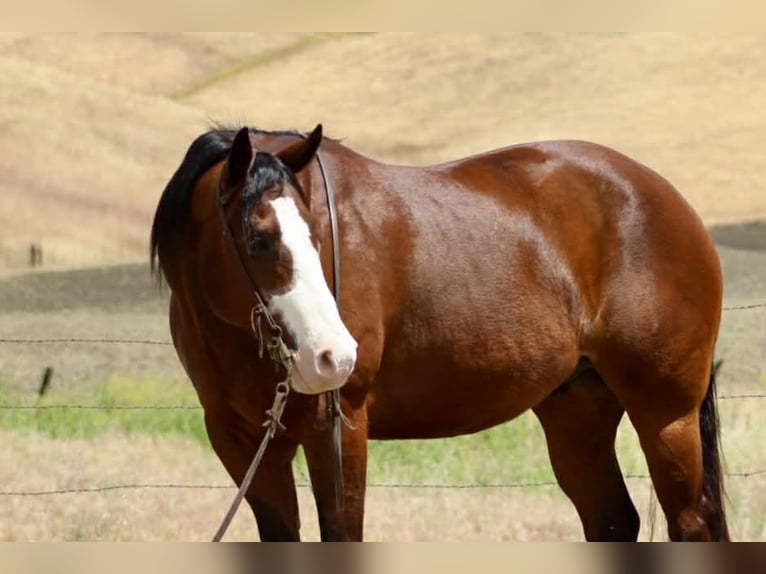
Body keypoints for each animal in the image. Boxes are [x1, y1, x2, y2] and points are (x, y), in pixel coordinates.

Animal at [150, 124, 728, 541]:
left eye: (316, 233)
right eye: (258, 237)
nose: (332, 356)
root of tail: (663, 196)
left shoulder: (338, 425)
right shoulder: (243, 442)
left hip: (666, 415)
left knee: (690, 523)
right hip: (577, 411)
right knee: (611, 520)